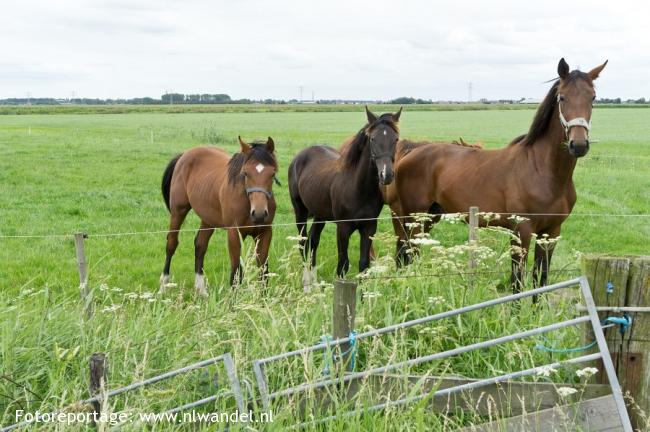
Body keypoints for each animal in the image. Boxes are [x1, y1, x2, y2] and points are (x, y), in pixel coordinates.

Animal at [161, 137, 278, 296]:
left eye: (272, 173)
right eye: (246, 173)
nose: (259, 213)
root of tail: (185, 154)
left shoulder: (265, 233)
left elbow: (263, 269)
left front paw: (264, 299)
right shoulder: (234, 233)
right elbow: (236, 270)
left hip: (208, 219)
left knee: (200, 245)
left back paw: (201, 290)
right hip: (178, 211)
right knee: (171, 243)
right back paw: (163, 285)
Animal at [288, 106, 400, 278]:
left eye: (396, 139)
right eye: (372, 139)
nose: (386, 175)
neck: (359, 189)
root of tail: (299, 157)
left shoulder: (369, 228)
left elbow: (364, 265)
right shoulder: (343, 229)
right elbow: (342, 265)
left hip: (320, 215)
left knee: (313, 240)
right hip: (300, 212)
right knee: (303, 242)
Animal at [384, 58, 604, 296]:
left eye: (593, 97)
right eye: (562, 97)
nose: (578, 144)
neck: (543, 172)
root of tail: (410, 152)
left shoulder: (551, 233)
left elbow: (540, 280)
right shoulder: (521, 232)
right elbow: (517, 283)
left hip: (430, 217)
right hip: (412, 219)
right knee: (407, 255)